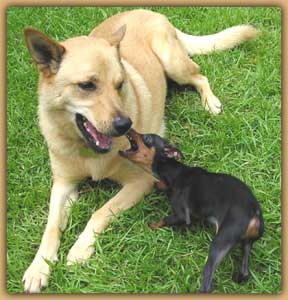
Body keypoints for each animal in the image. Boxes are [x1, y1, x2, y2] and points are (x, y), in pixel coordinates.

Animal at [119, 129, 264, 292]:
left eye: (147, 138)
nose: (129, 128)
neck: (174, 172)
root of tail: (255, 212)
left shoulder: (183, 216)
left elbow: (165, 219)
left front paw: (151, 226)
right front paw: (159, 185)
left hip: (221, 241)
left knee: (207, 281)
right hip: (247, 242)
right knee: (245, 271)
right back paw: (238, 278)